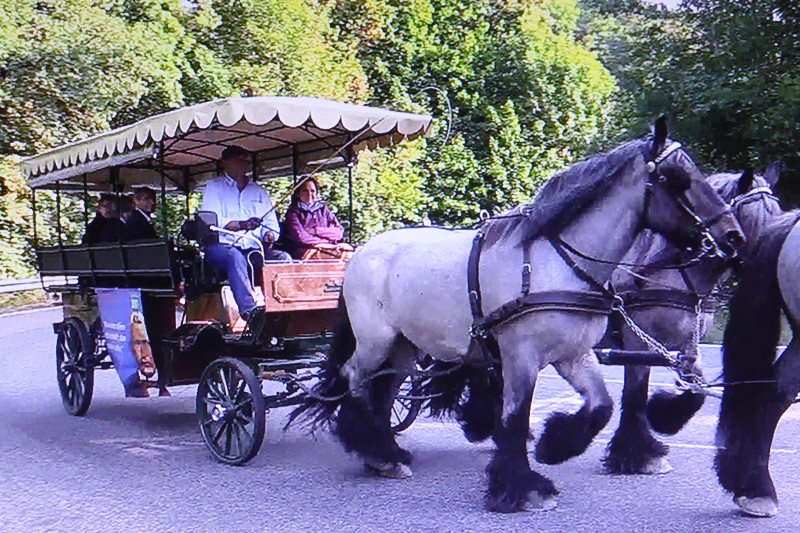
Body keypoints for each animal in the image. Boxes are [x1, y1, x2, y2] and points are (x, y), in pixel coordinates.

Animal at [288, 119, 744, 512]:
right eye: (679, 179)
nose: (733, 237)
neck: (558, 263)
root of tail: (363, 252)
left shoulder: (575, 354)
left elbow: (602, 405)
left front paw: (555, 445)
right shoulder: (520, 355)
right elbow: (515, 415)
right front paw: (521, 488)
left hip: (404, 347)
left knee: (383, 391)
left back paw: (385, 455)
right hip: (375, 340)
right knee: (354, 380)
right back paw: (372, 449)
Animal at [600, 165, 780, 474]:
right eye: (754, 217)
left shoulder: (685, 347)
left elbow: (697, 390)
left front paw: (664, 416)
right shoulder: (637, 343)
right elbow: (634, 394)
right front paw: (638, 455)